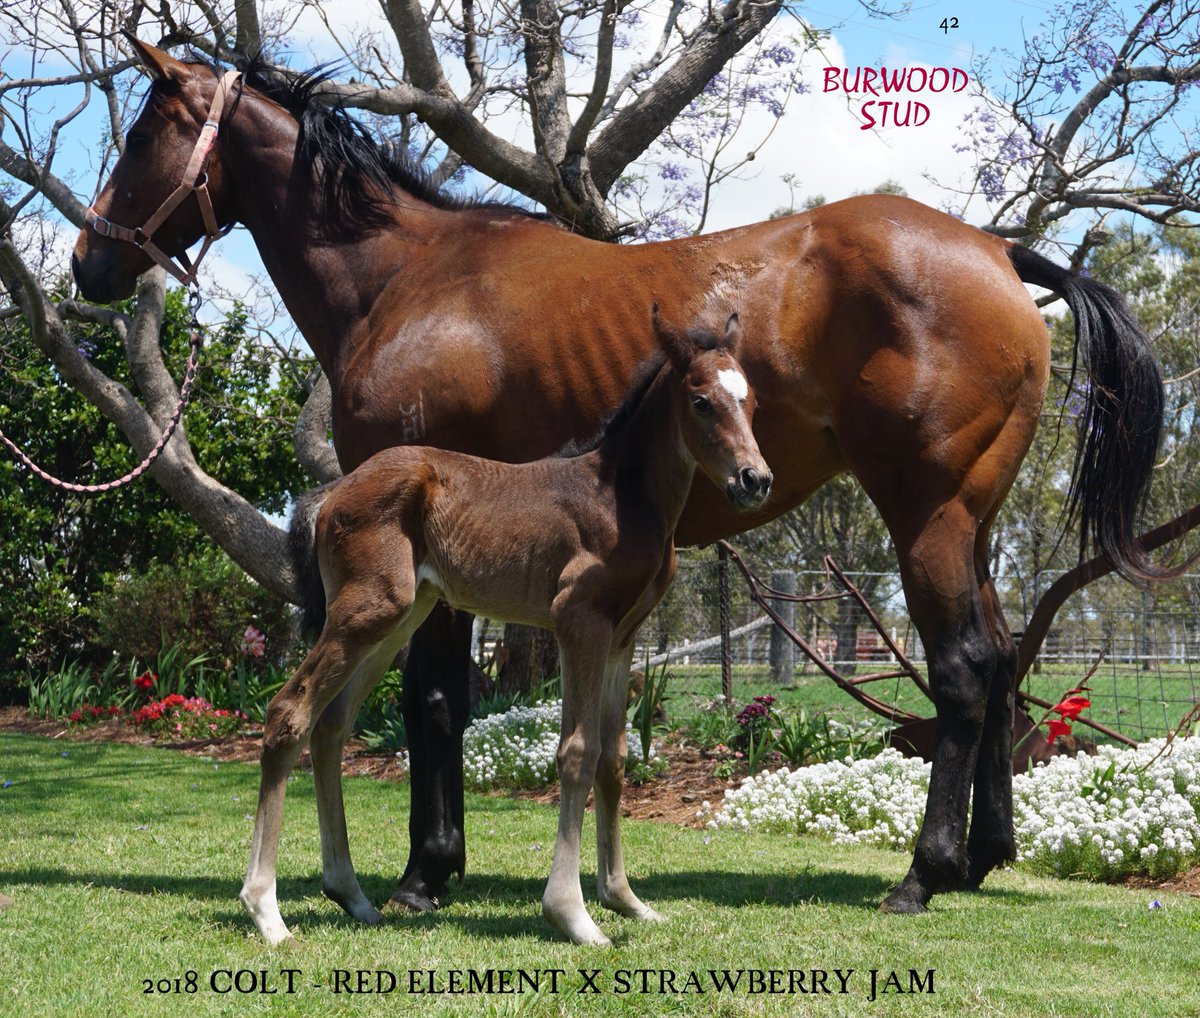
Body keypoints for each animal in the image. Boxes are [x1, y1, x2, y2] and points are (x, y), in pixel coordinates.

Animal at [240, 309, 770, 946]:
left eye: (751, 400)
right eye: (700, 401)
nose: (755, 480)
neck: (621, 496)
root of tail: (331, 492)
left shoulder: (622, 638)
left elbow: (615, 760)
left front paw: (625, 900)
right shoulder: (578, 622)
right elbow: (578, 752)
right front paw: (573, 915)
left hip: (395, 619)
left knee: (330, 725)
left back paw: (352, 896)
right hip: (365, 612)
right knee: (288, 713)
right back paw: (266, 912)